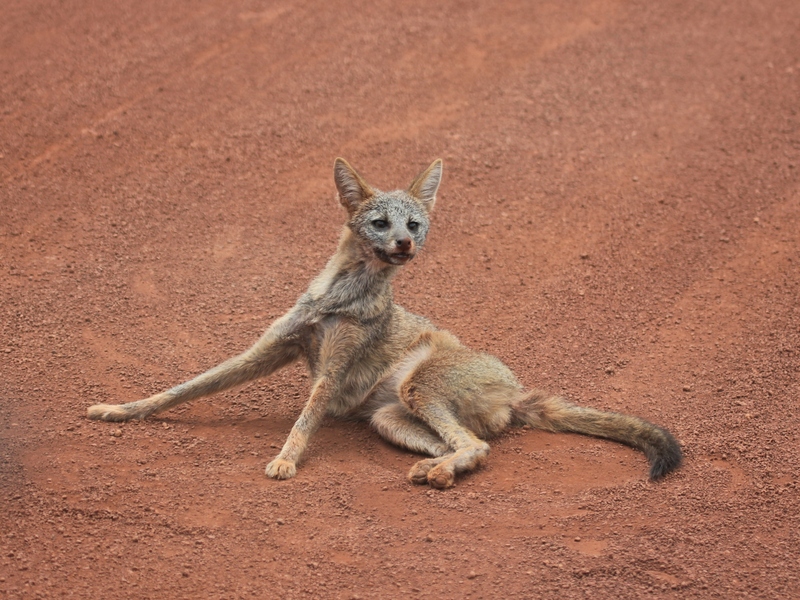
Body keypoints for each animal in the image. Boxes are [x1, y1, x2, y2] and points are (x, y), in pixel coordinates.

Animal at [87, 158, 680, 488]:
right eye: (379, 223)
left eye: (413, 224)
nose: (404, 245)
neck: (337, 296)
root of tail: (514, 391)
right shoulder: (273, 347)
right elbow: (183, 388)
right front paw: (121, 411)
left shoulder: (330, 371)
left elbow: (304, 421)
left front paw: (285, 461)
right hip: (391, 419)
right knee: (466, 447)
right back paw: (435, 470)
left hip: (418, 389)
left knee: (478, 447)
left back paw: (441, 475)